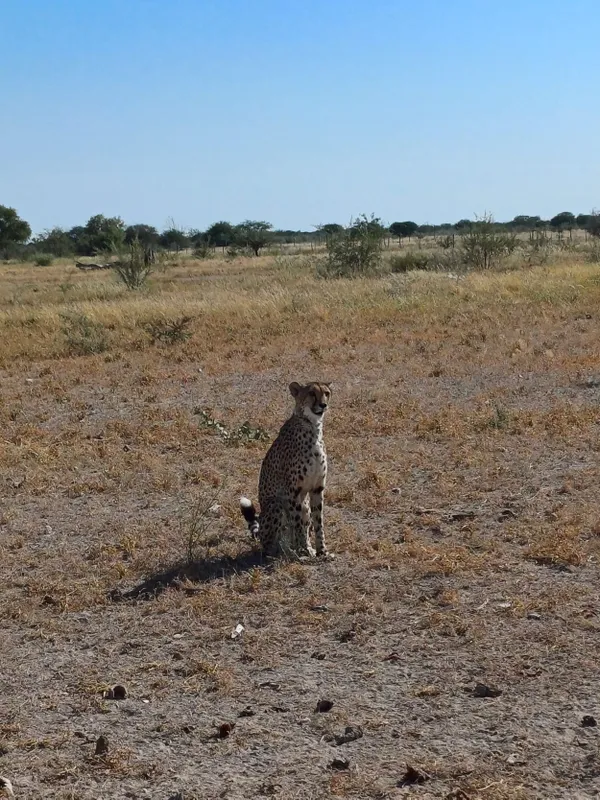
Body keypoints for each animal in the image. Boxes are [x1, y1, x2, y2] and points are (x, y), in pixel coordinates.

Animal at [240, 381, 332, 559]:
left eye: (326, 393)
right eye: (311, 393)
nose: (323, 405)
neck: (312, 426)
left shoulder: (317, 488)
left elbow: (318, 523)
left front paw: (322, 551)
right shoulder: (293, 490)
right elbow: (297, 524)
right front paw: (304, 552)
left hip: (305, 506)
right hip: (275, 504)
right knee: (271, 546)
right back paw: (284, 552)